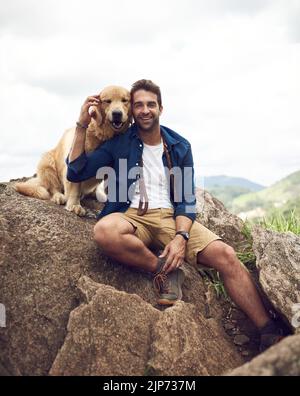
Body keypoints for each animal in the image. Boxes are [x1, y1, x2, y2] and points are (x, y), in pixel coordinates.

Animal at [15, 86, 131, 217]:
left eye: (124, 100)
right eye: (107, 101)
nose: (117, 114)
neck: (102, 136)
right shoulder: (74, 164)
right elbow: (74, 185)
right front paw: (74, 205)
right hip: (47, 162)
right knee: (53, 188)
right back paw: (59, 196)